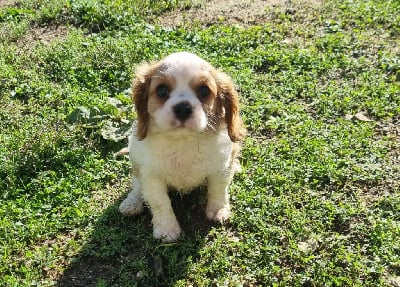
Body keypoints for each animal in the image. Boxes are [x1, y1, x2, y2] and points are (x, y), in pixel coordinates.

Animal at [117, 52, 245, 243]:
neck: (182, 139)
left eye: (204, 91)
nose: (183, 108)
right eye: (162, 90)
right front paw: (166, 230)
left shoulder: (221, 166)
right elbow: (159, 202)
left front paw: (218, 210)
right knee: (137, 186)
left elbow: (218, 189)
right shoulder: (150, 175)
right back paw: (131, 203)